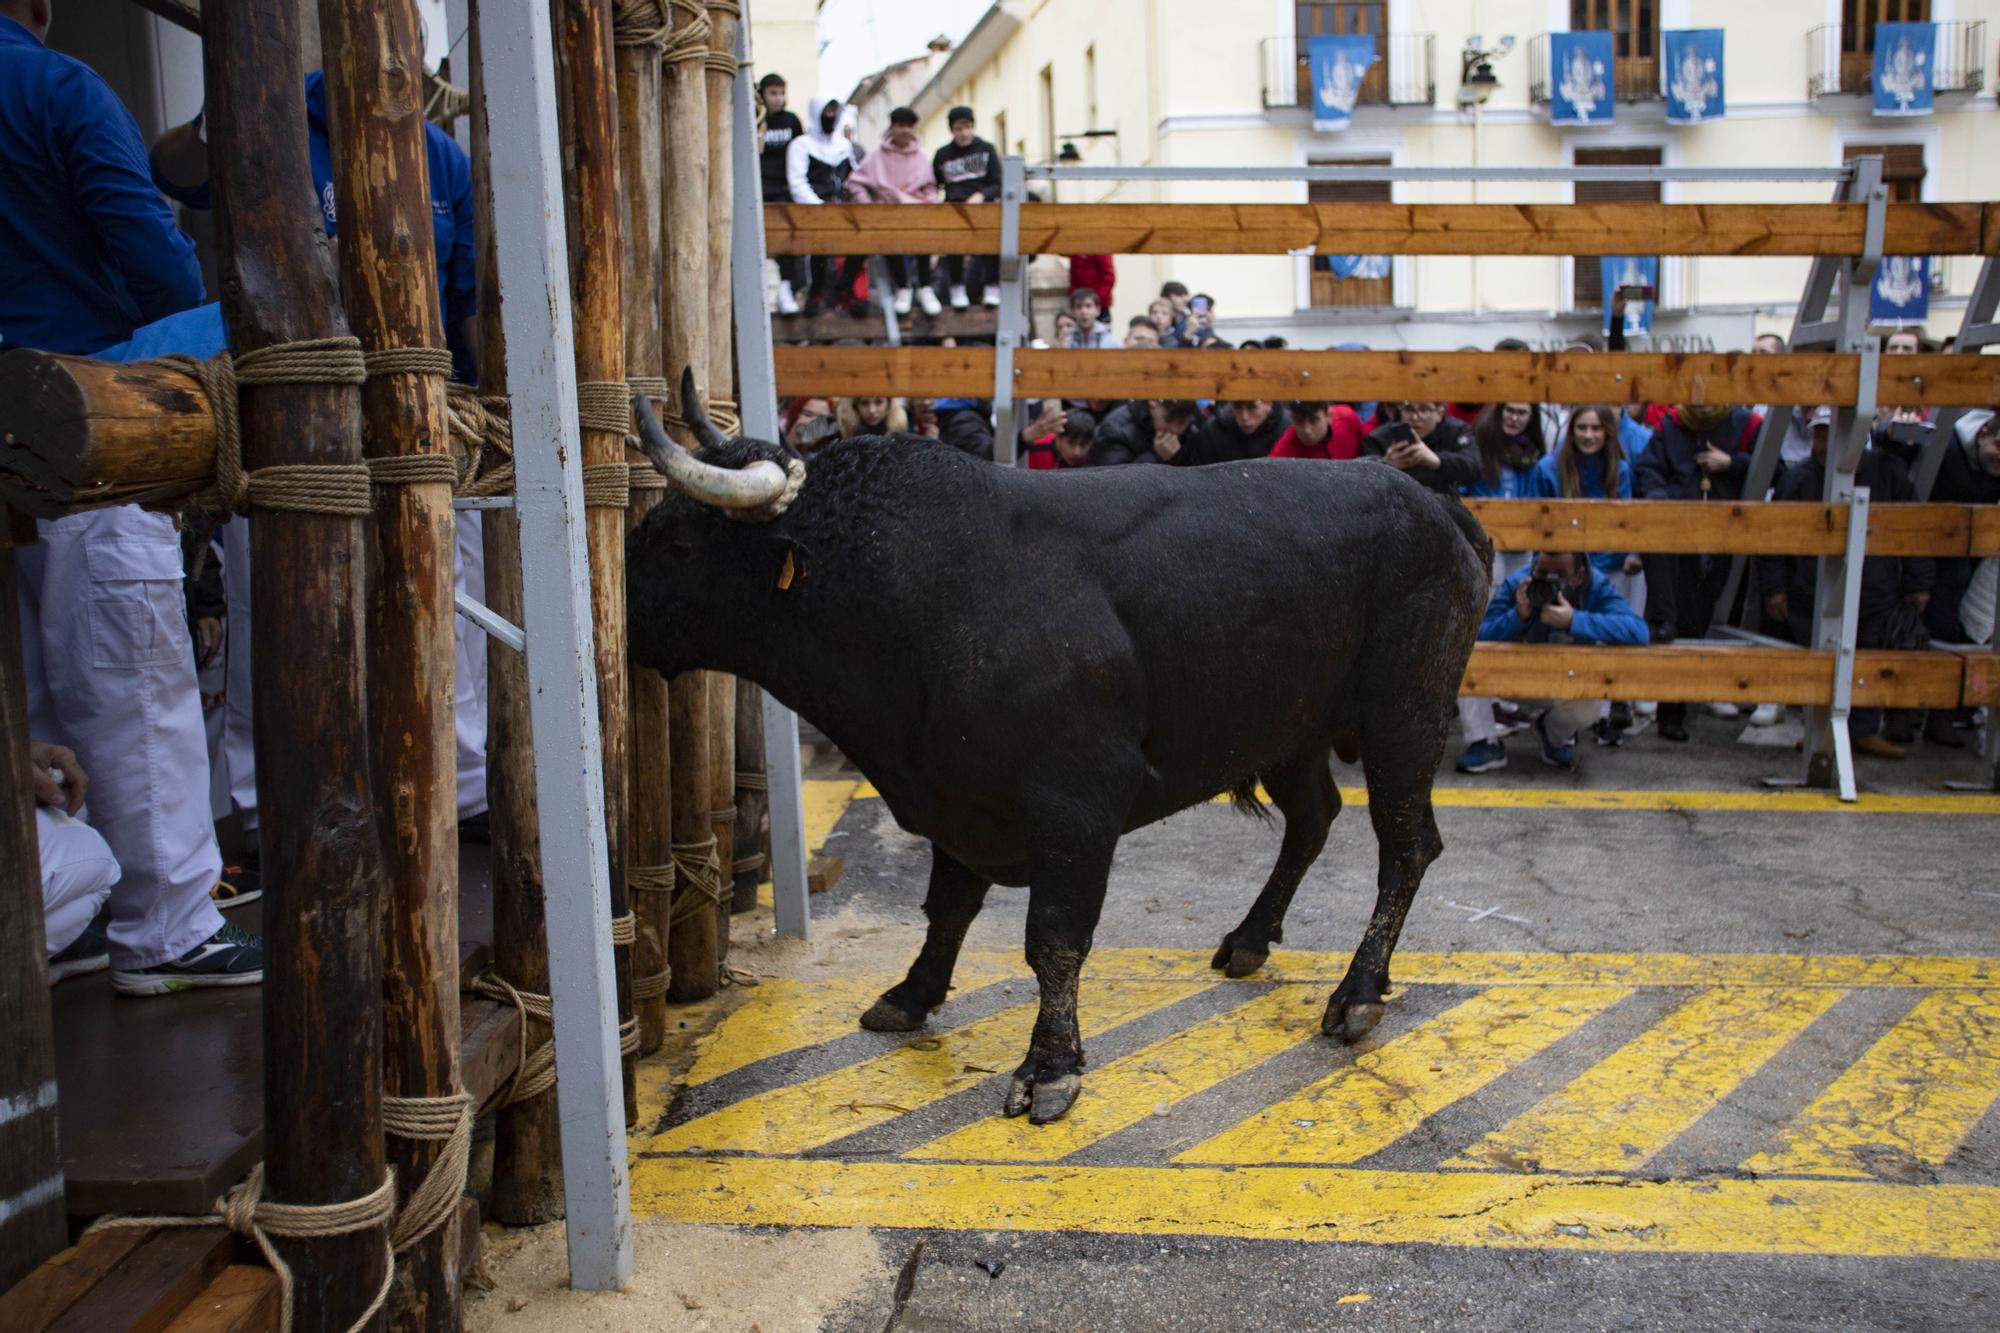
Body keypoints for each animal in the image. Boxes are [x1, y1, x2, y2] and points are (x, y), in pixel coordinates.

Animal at [632, 394, 1496, 1120]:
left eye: (679, 539)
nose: (624, 607)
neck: (919, 589)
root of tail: (1434, 503)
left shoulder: (1075, 802)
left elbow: (1052, 934)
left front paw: (1049, 1065)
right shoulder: (955, 796)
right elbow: (947, 906)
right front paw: (912, 993)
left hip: (1403, 719)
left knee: (1406, 846)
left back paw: (1358, 992)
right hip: (1290, 729)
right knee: (1314, 820)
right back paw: (1251, 938)